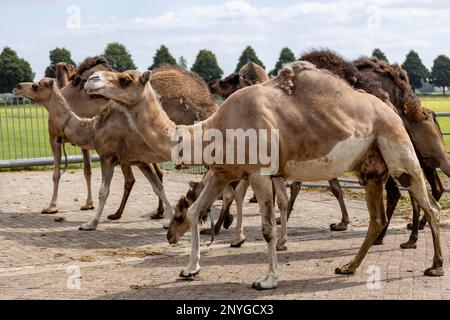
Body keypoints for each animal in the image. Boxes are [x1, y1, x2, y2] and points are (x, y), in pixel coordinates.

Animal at [86, 63, 444, 290]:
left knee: (429, 203)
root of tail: (392, 108)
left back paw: (435, 265)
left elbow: (268, 228)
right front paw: (189, 268)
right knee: (377, 216)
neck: (216, 127)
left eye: (125, 79)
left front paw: (267, 280)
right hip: (370, 166)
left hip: (397, 146)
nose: (91, 80)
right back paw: (348, 267)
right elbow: (197, 210)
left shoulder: (259, 173)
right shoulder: (223, 171)